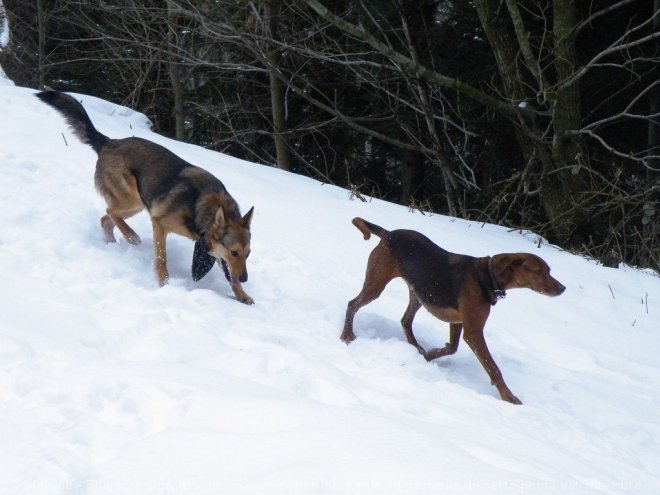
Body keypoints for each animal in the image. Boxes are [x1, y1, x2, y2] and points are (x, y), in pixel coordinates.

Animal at [35, 90, 258, 304]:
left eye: (247, 254)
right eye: (234, 252)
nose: (246, 278)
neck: (202, 207)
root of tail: (108, 142)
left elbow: (229, 276)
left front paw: (242, 295)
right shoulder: (159, 224)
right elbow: (161, 259)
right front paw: (165, 285)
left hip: (137, 204)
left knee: (106, 219)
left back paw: (113, 244)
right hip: (132, 199)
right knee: (111, 212)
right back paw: (131, 237)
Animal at [342, 219, 564, 404]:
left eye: (549, 271)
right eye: (540, 272)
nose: (563, 288)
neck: (488, 277)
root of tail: (389, 234)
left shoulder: (458, 323)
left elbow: (451, 348)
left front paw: (428, 356)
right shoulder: (474, 333)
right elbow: (494, 368)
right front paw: (508, 396)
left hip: (418, 294)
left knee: (405, 320)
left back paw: (415, 348)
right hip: (376, 284)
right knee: (352, 304)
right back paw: (346, 335)